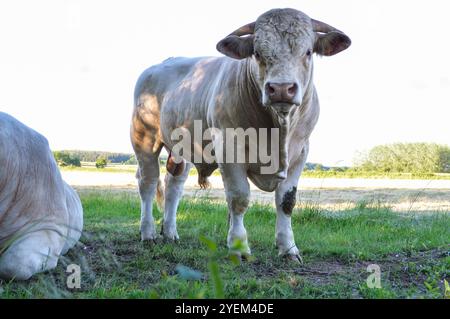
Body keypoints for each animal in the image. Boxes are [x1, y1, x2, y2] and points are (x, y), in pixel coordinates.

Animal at [131, 8, 352, 262]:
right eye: (257, 52)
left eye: (307, 51)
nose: (281, 89)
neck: (277, 130)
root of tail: (161, 64)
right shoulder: (229, 149)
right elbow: (239, 198)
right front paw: (239, 247)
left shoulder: (300, 152)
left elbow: (286, 201)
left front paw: (288, 249)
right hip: (143, 137)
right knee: (148, 183)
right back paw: (148, 233)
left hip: (180, 149)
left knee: (173, 185)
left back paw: (170, 232)